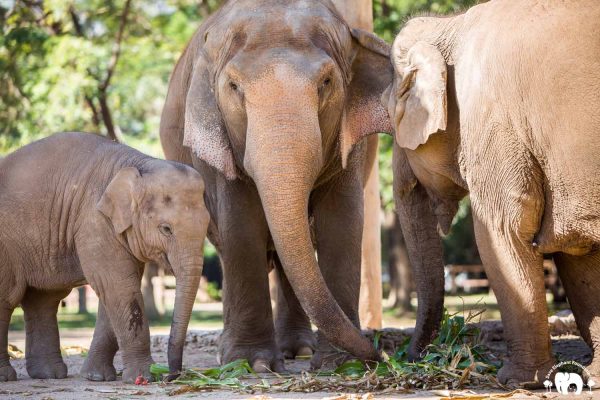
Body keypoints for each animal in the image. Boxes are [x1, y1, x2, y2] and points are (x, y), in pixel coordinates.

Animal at [0, 133, 211, 382]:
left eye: (208, 226)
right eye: (166, 229)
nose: (171, 376)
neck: (140, 164)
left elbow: (114, 290)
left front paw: (96, 377)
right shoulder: (94, 220)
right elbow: (119, 287)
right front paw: (144, 377)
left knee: (43, 300)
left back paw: (50, 375)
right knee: (8, 297)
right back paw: (8, 377)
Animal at [382, 0, 600, 388]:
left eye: (393, 124)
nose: (407, 357)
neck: (451, 27)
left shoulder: (494, 124)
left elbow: (501, 232)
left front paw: (518, 381)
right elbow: (579, 256)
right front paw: (593, 375)